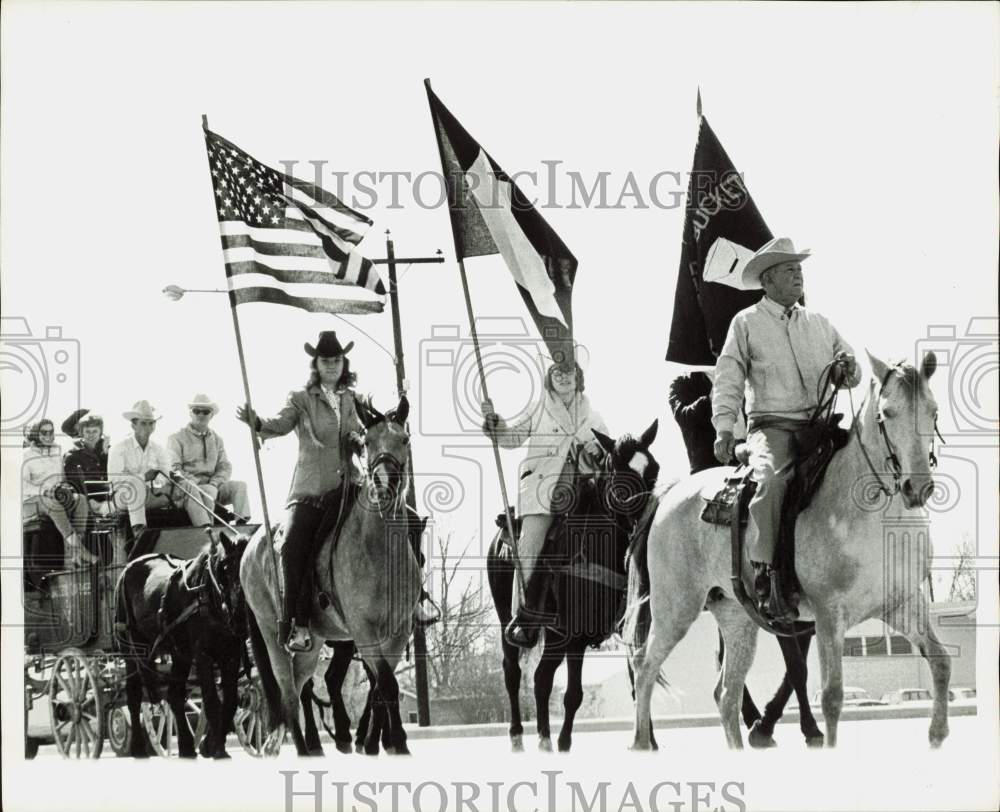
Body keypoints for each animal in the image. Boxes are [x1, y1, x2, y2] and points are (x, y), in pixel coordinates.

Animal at [115, 528, 250, 760]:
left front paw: (211, 744)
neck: (208, 596)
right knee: (133, 693)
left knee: (174, 694)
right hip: (131, 648)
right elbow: (212, 701)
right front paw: (217, 748)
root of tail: (129, 567)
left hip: (180, 654)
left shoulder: (231, 655)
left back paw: (186, 746)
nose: (240, 616)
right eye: (225, 567)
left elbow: (230, 701)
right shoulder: (203, 655)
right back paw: (139, 748)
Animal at [242, 396, 422, 760]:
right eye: (367, 443)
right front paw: (393, 741)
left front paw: (387, 743)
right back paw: (301, 747)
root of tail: (249, 546)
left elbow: (384, 687)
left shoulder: (398, 632)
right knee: (287, 690)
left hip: (314, 640)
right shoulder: (363, 631)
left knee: (300, 684)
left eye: (404, 439)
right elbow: (386, 683)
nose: (384, 485)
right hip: (271, 635)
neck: (378, 547)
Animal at [486, 422, 660, 752]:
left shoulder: (627, 631)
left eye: (653, 469)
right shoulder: (576, 636)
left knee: (541, 678)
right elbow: (573, 695)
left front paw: (648, 741)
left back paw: (543, 737)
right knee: (514, 672)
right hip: (512, 621)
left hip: (555, 634)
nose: (643, 520)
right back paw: (519, 736)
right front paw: (565, 742)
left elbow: (639, 683)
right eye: (615, 470)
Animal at [628, 348, 948, 748]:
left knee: (726, 693)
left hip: (735, 617)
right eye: (887, 413)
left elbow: (940, 661)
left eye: (933, 411)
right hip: (675, 608)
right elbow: (831, 695)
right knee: (645, 666)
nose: (917, 487)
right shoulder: (828, 614)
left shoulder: (902, 603)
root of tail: (671, 493)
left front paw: (937, 734)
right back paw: (642, 743)